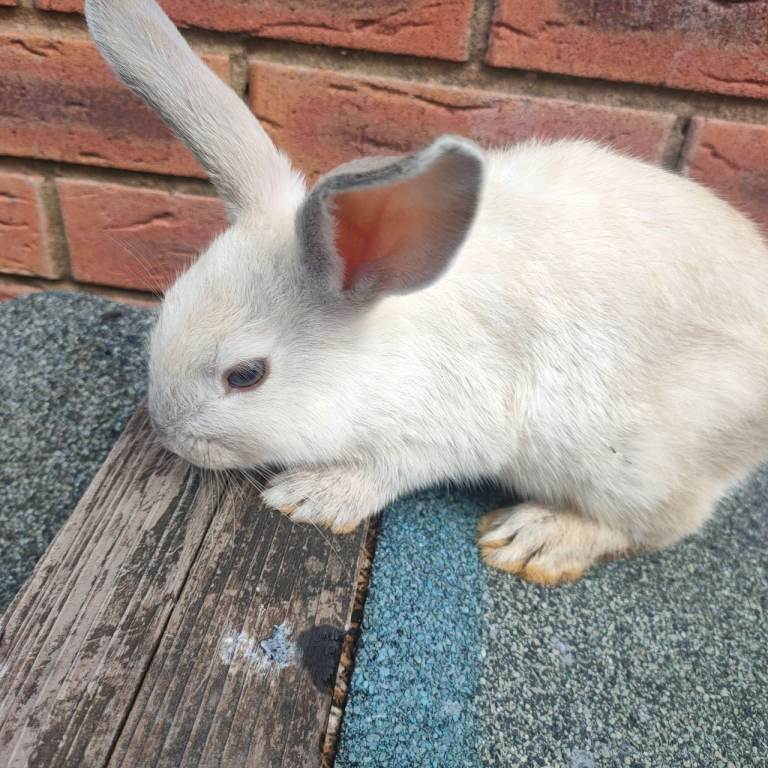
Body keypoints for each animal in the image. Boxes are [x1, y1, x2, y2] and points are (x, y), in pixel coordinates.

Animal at [86, 0, 768, 584]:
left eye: (246, 375)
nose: (167, 433)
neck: (377, 350)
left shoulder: (442, 431)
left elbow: (388, 469)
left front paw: (309, 496)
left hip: (635, 463)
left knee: (661, 525)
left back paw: (536, 538)